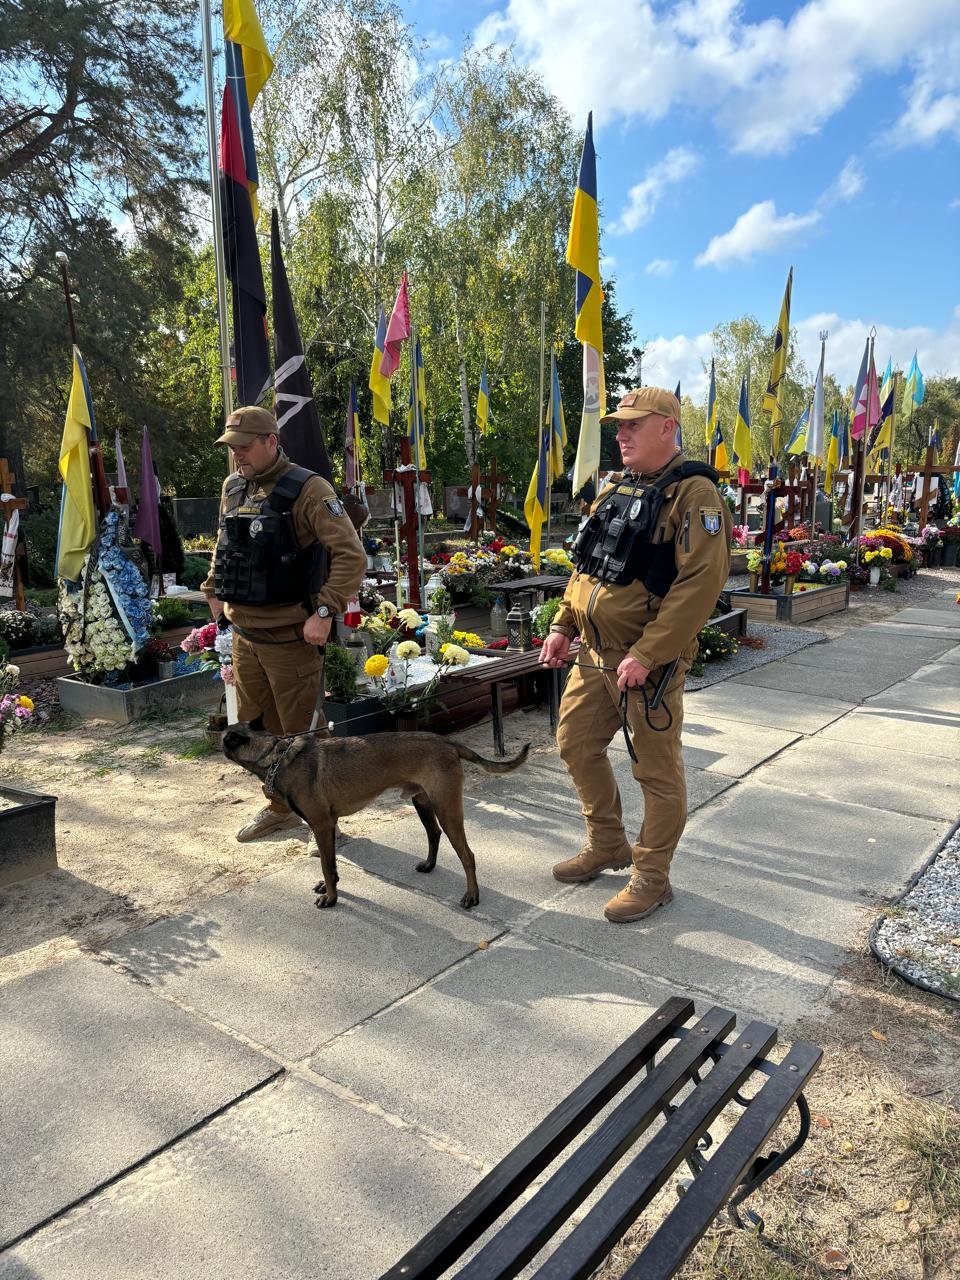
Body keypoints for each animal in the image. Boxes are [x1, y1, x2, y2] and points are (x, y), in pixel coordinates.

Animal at [221, 732, 529, 911]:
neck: (277, 756)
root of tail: (447, 741)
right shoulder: (326, 827)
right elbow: (330, 863)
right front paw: (329, 886)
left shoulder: (321, 825)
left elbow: (327, 864)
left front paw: (331, 897)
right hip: (423, 802)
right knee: (434, 833)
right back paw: (429, 865)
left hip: (447, 809)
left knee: (467, 855)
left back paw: (471, 896)